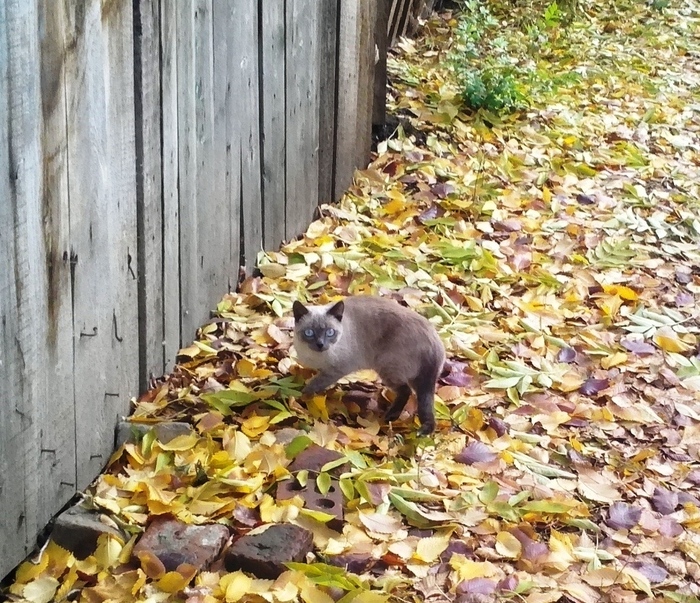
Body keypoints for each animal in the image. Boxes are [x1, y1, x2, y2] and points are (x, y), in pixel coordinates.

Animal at [292, 296, 446, 434]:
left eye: (330, 332)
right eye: (309, 333)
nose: (320, 344)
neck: (315, 356)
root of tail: (436, 343)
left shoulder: (336, 370)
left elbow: (315, 383)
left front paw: (302, 394)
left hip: (387, 367)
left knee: (405, 391)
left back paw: (390, 416)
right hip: (414, 378)